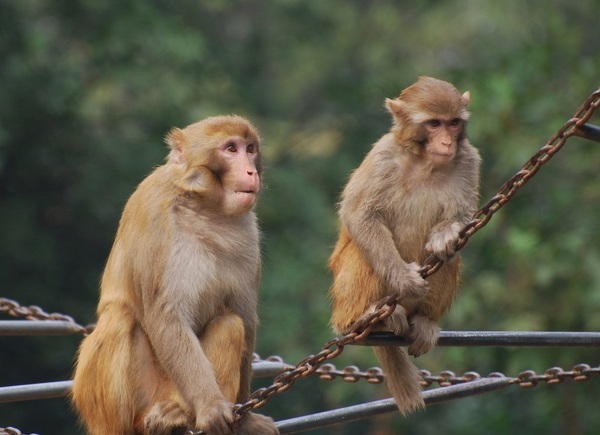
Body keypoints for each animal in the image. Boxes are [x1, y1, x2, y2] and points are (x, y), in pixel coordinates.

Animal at [72, 116, 278, 435]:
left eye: (250, 149)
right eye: (231, 149)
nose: (250, 170)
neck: (202, 206)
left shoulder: (248, 231)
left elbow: (243, 318)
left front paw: (246, 422)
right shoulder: (153, 211)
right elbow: (165, 315)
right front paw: (211, 406)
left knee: (230, 324)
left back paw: (177, 415)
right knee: (119, 318)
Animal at [330, 77, 480, 416]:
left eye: (453, 123)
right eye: (434, 123)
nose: (447, 143)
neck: (424, 161)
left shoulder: (468, 159)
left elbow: (462, 219)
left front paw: (445, 235)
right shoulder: (383, 155)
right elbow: (360, 215)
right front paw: (402, 278)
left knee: (450, 259)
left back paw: (424, 320)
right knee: (363, 253)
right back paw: (367, 317)